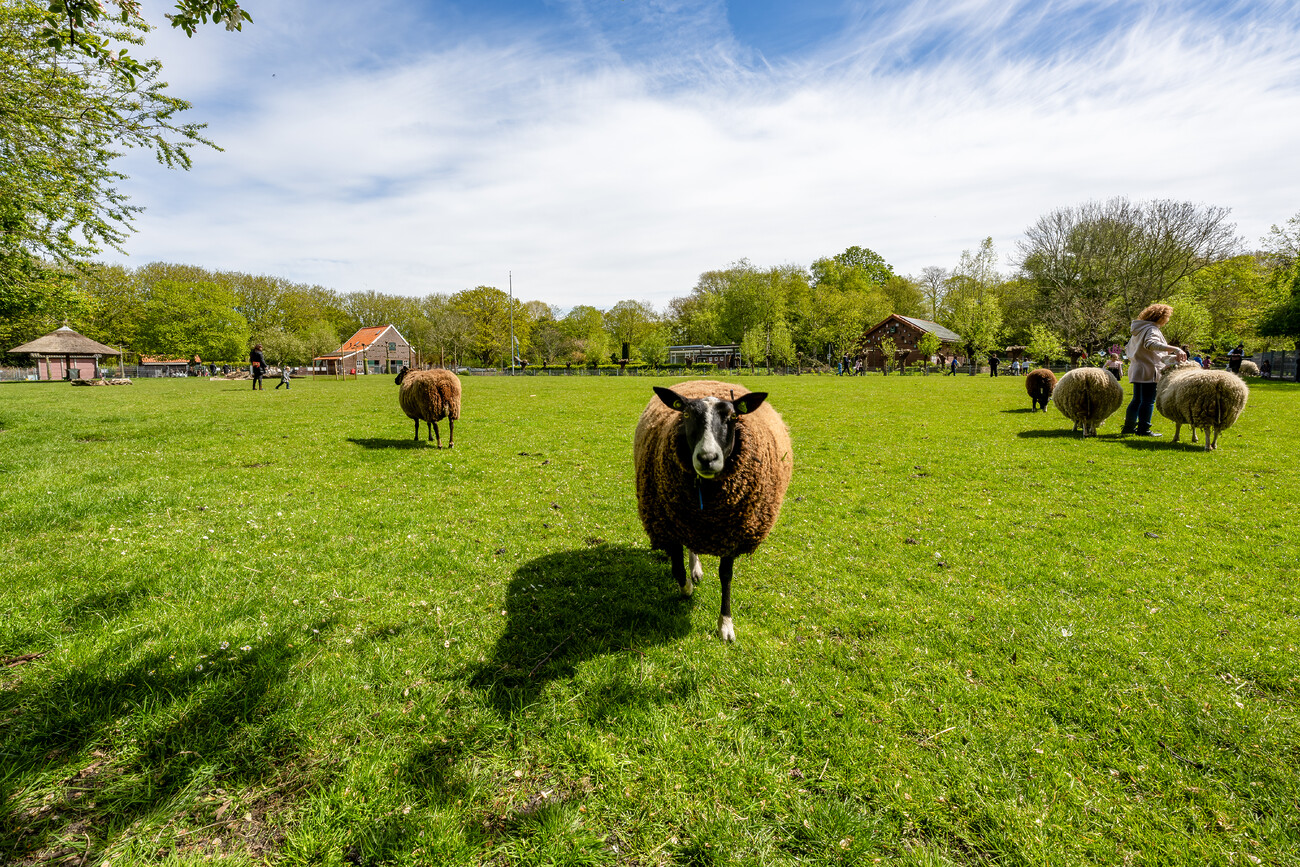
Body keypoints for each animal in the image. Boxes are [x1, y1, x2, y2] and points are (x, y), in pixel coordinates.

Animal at [629, 382, 790, 644]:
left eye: (733, 417)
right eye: (685, 415)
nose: (707, 458)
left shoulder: (732, 534)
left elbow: (726, 575)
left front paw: (725, 624)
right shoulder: (670, 526)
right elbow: (677, 569)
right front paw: (687, 589)